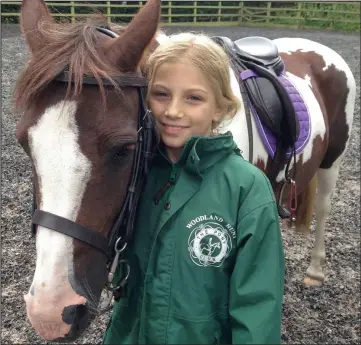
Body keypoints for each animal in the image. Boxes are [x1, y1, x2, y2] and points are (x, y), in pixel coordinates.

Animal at [13, 0, 354, 340]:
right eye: (24, 144)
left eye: (123, 150)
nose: (50, 314)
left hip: (332, 163)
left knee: (324, 208)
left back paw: (315, 272)